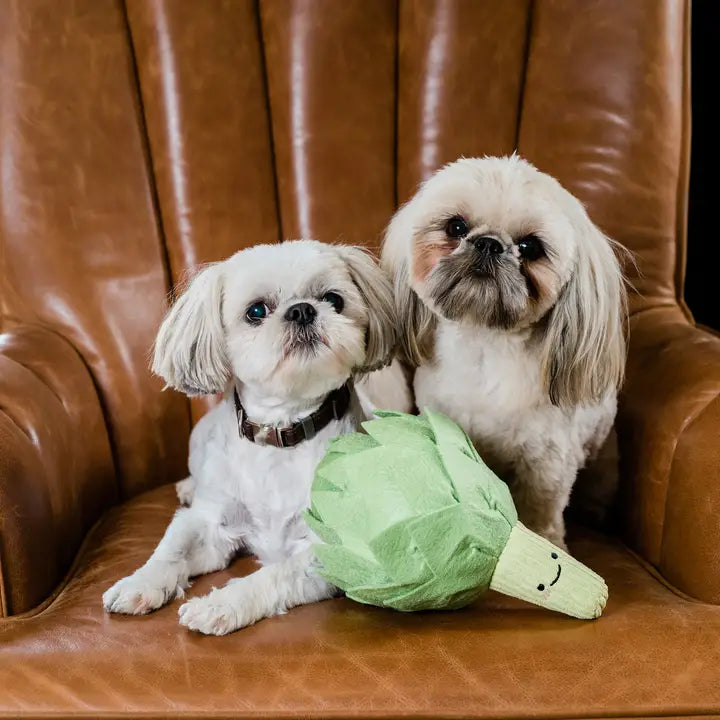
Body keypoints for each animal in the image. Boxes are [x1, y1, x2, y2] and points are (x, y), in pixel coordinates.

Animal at [101, 240, 394, 636]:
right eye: (256, 311)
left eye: (334, 299)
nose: (302, 310)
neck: (281, 432)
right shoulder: (210, 527)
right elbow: (172, 548)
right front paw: (140, 583)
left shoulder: (328, 551)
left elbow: (271, 576)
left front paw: (219, 605)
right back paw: (189, 487)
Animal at [382, 153, 624, 544]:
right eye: (456, 227)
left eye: (530, 247)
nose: (488, 243)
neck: (484, 347)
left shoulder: (546, 464)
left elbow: (540, 511)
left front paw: (544, 540)